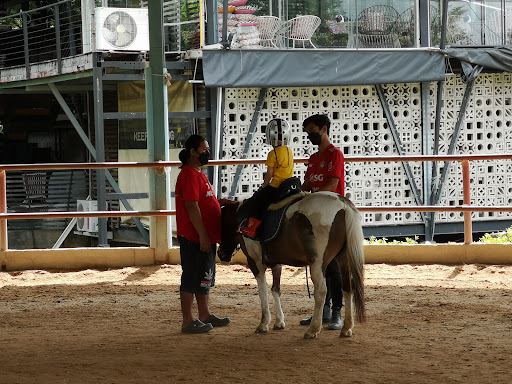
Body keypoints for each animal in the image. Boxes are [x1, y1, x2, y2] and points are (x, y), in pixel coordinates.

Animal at [216, 192, 364, 340]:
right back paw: (346, 328)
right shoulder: (276, 264)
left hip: (318, 263)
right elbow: (275, 290)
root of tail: (342, 203)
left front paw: (263, 324)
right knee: (347, 288)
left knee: (321, 291)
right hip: (343, 259)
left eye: (221, 225)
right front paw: (279, 322)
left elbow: (263, 292)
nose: (221, 254)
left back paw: (313, 329)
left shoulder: (255, 263)